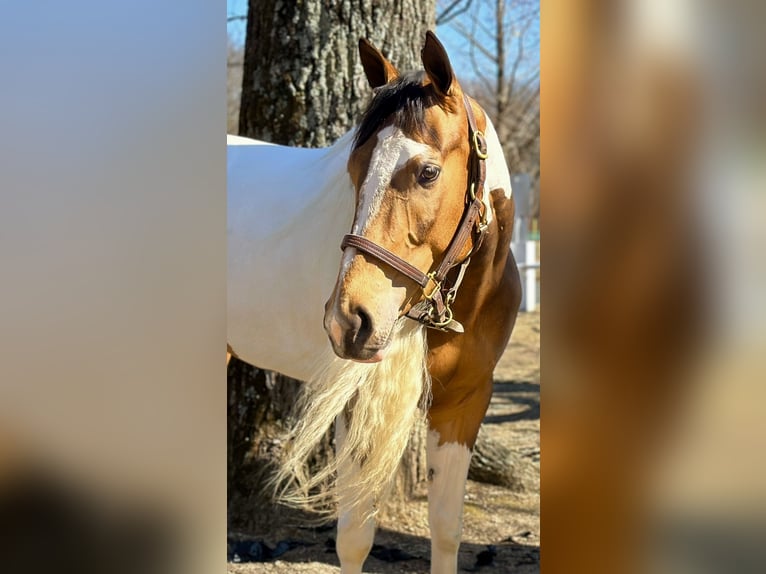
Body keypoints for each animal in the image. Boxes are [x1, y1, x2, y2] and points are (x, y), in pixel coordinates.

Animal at [224, 31, 520, 574]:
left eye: (427, 172)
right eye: (353, 168)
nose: (348, 321)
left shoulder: (466, 401)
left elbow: (446, 529)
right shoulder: (354, 400)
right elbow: (354, 539)